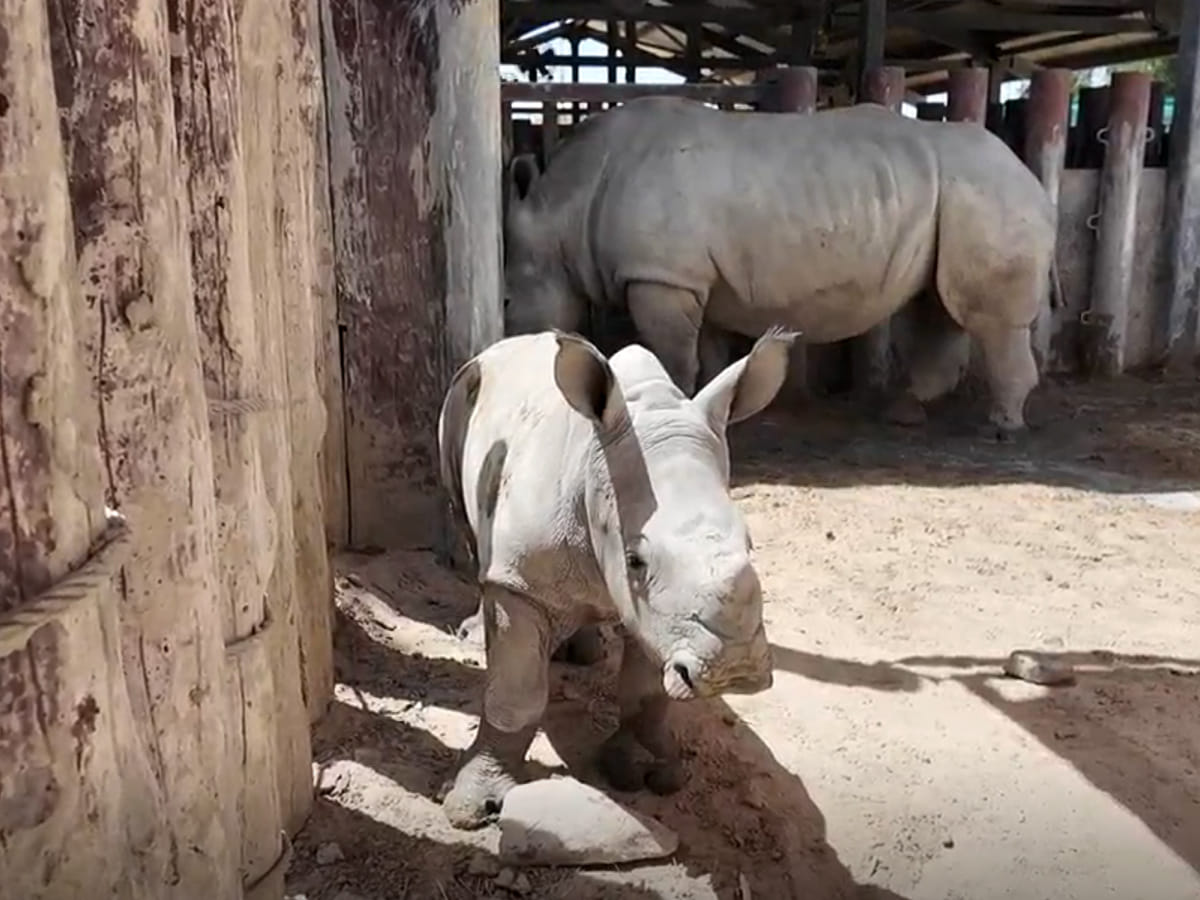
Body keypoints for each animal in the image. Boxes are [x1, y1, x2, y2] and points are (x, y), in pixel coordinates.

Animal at [435, 327, 794, 828]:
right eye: (635, 560)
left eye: (751, 545)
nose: (734, 670)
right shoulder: (517, 584)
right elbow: (516, 692)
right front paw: (471, 805)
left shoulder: (655, 611)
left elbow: (644, 692)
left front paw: (640, 771)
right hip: (460, 404)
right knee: (468, 530)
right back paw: (473, 631)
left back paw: (583, 652)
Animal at [503, 96, 1059, 436]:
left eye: (507, 301)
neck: (562, 209)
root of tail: (1034, 180)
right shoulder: (702, 281)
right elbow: (709, 351)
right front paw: (713, 402)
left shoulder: (662, 276)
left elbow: (672, 353)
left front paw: (671, 404)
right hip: (960, 200)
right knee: (937, 304)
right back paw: (904, 413)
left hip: (991, 196)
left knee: (987, 319)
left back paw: (1002, 424)